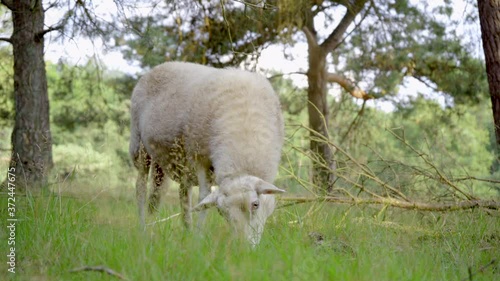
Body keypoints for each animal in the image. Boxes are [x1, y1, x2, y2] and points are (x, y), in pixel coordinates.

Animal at [129, 61, 286, 245]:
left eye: (255, 204)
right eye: (221, 212)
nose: (244, 247)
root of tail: (159, 67)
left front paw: (193, 235)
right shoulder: (200, 158)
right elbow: (203, 195)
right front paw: (198, 238)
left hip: (169, 162)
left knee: (167, 195)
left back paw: (175, 229)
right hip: (139, 145)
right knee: (141, 188)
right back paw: (143, 229)